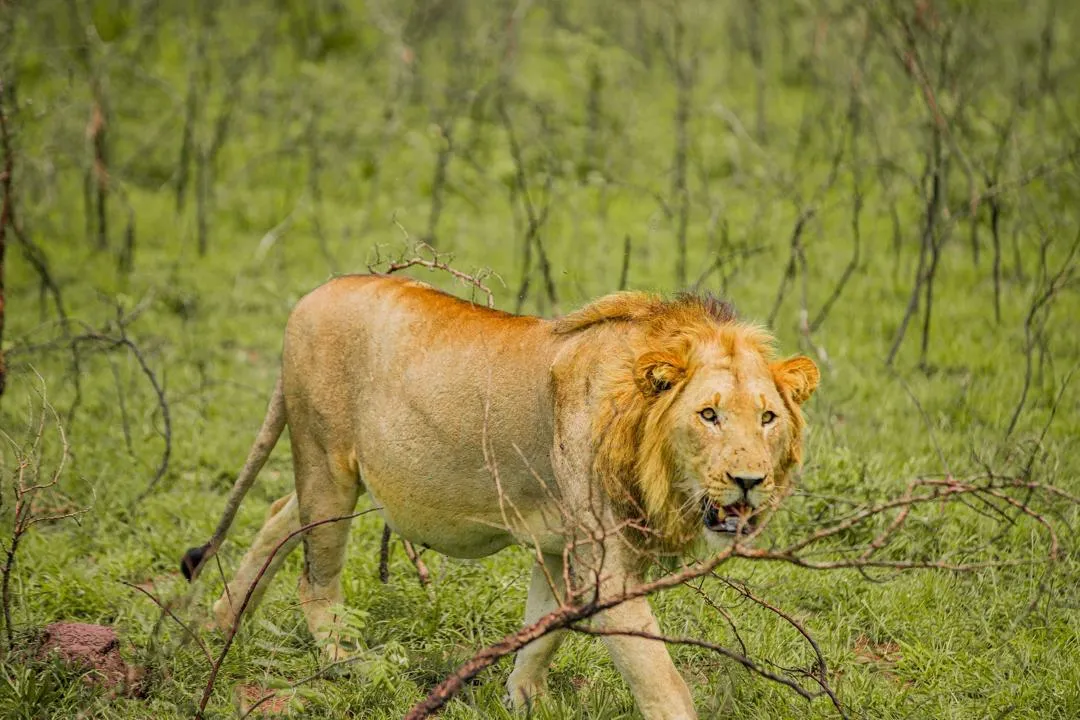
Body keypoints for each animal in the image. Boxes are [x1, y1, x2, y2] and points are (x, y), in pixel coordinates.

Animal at [180, 274, 818, 720]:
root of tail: (314, 292)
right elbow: (659, 676)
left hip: (327, 474)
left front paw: (524, 698)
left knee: (276, 518)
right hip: (327, 462)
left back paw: (218, 624)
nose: (749, 480)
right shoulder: (604, 565)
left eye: (767, 418)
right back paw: (352, 666)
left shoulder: (562, 548)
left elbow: (543, 632)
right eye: (709, 415)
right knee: (314, 579)